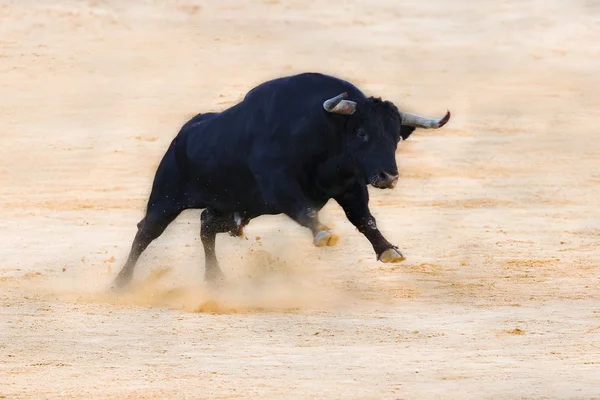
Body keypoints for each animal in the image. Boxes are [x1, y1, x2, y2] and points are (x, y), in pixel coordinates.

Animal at [112, 72, 450, 290]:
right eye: (361, 132)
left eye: (396, 138)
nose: (388, 177)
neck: (322, 131)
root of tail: (182, 135)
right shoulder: (279, 184)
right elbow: (304, 210)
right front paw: (324, 234)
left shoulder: (351, 187)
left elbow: (365, 219)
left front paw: (388, 250)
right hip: (166, 198)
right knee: (146, 232)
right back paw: (120, 283)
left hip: (239, 209)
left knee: (207, 223)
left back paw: (216, 279)